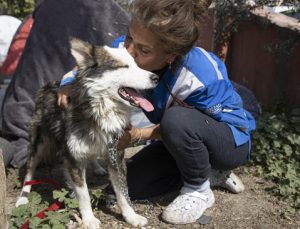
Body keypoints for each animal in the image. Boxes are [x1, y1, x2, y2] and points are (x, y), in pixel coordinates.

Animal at [15, 38, 159, 228]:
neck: (101, 111)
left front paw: (131, 216)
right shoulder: (73, 159)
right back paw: (23, 198)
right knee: (30, 170)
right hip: (39, 141)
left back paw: (97, 167)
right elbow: (83, 195)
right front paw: (89, 219)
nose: (156, 78)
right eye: (123, 66)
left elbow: (122, 192)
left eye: (136, 64)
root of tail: (48, 84)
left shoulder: (116, 156)